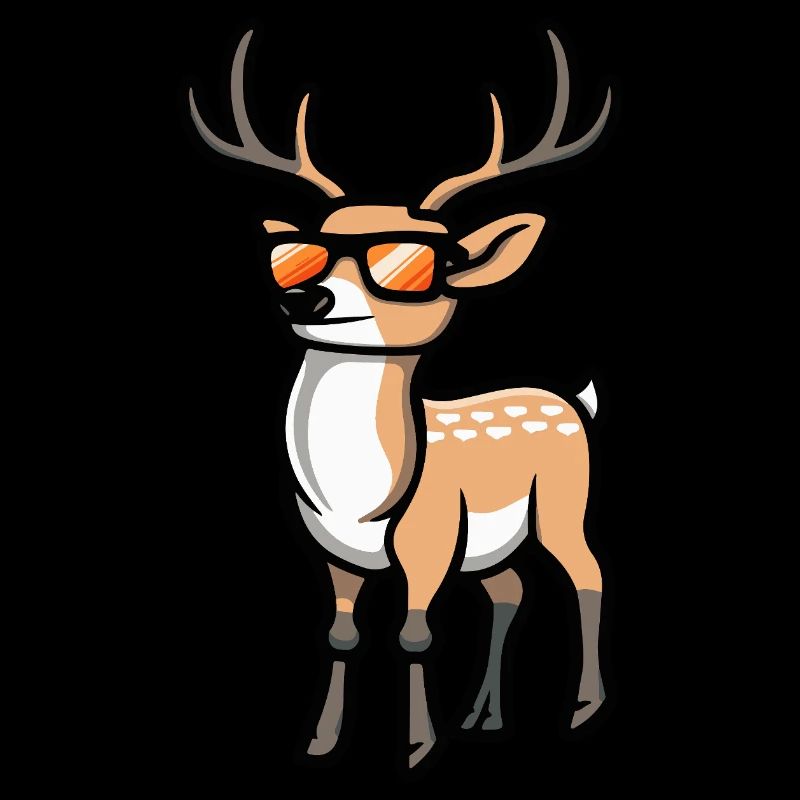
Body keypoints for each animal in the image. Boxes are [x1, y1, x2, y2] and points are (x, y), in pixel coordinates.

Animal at [189, 28, 611, 768]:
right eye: (294, 256)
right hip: (492, 545)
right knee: (511, 589)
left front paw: (416, 746)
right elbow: (341, 635)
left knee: (587, 574)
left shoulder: (430, 539)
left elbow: (415, 634)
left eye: (416, 264)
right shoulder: (330, 552)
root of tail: (573, 402)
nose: (305, 297)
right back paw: (484, 717)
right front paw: (323, 740)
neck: (354, 500)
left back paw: (582, 709)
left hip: (565, 501)